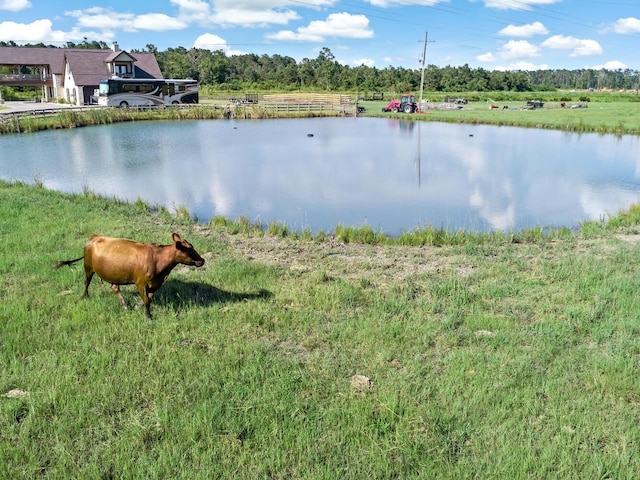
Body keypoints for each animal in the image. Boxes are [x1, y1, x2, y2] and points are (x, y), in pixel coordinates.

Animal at [56, 233, 205, 320]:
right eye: (189, 250)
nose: (202, 260)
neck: (159, 261)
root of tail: (95, 237)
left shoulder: (157, 282)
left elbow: (149, 297)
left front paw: (138, 306)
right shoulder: (141, 282)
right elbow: (147, 300)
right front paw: (149, 317)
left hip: (113, 273)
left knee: (114, 287)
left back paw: (125, 305)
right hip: (88, 267)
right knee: (86, 282)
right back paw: (84, 297)